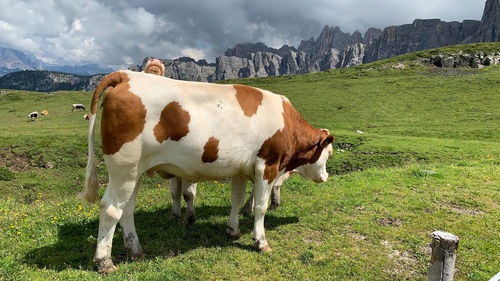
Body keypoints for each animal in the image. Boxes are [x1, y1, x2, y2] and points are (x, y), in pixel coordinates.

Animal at [82, 70, 334, 274]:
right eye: (329, 152)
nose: (326, 177)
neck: (286, 120)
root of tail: (125, 75)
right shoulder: (267, 165)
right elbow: (260, 207)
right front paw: (260, 241)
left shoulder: (240, 169)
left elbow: (236, 200)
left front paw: (233, 229)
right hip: (124, 169)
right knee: (111, 209)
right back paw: (105, 262)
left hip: (136, 172)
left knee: (127, 209)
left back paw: (135, 249)